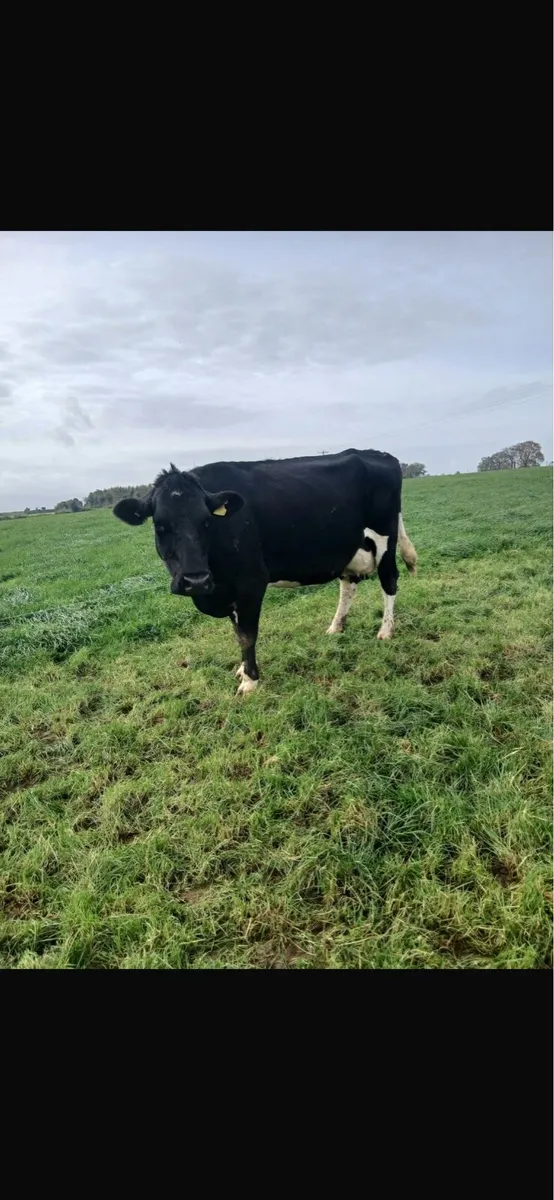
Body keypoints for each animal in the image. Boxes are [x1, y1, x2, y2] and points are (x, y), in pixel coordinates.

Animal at [113, 448, 417, 695]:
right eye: (160, 525)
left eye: (206, 522)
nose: (195, 580)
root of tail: (378, 454)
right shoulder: (228, 588)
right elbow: (236, 631)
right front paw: (241, 668)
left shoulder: (250, 583)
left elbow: (247, 634)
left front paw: (250, 681)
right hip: (349, 546)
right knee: (348, 584)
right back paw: (336, 626)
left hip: (385, 538)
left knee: (389, 582)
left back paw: (386, 631)